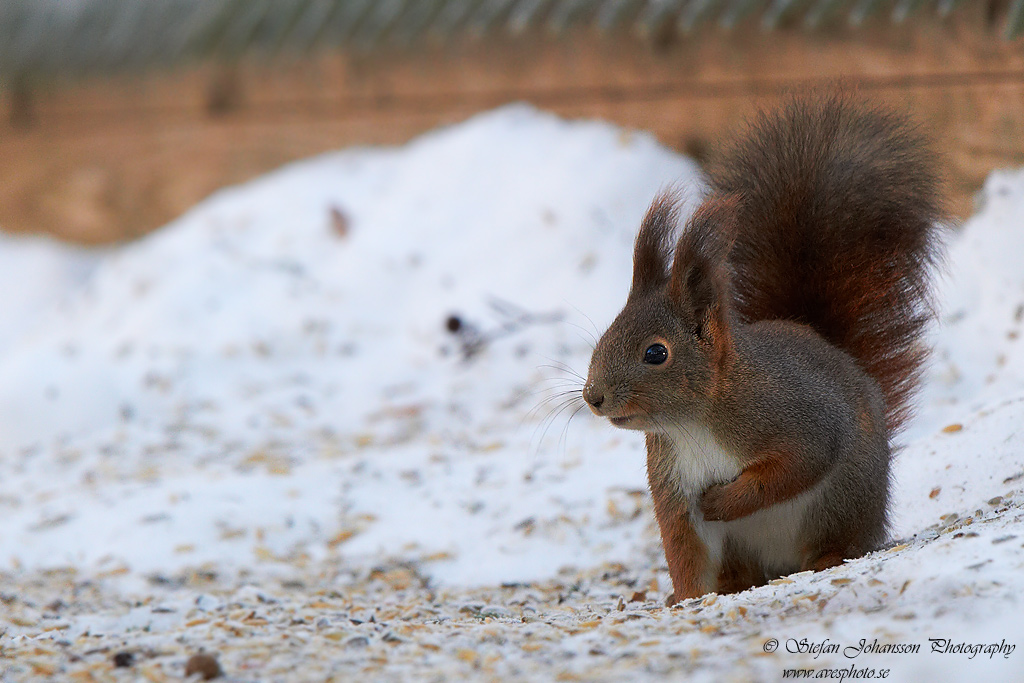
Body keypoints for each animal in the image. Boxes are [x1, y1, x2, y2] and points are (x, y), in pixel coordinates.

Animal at [585, 94, 942, 602]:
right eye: (604, 337)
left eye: (656, 353)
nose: (592, 397)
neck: (694, 421)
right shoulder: (673, 485)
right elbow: (684, 549)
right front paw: (684, 599)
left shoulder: (794, 415)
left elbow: (796, 465)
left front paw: (724, 501)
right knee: (739, 570)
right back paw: (731, 584)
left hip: (840, 502)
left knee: (838, 538)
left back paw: (828, 557)